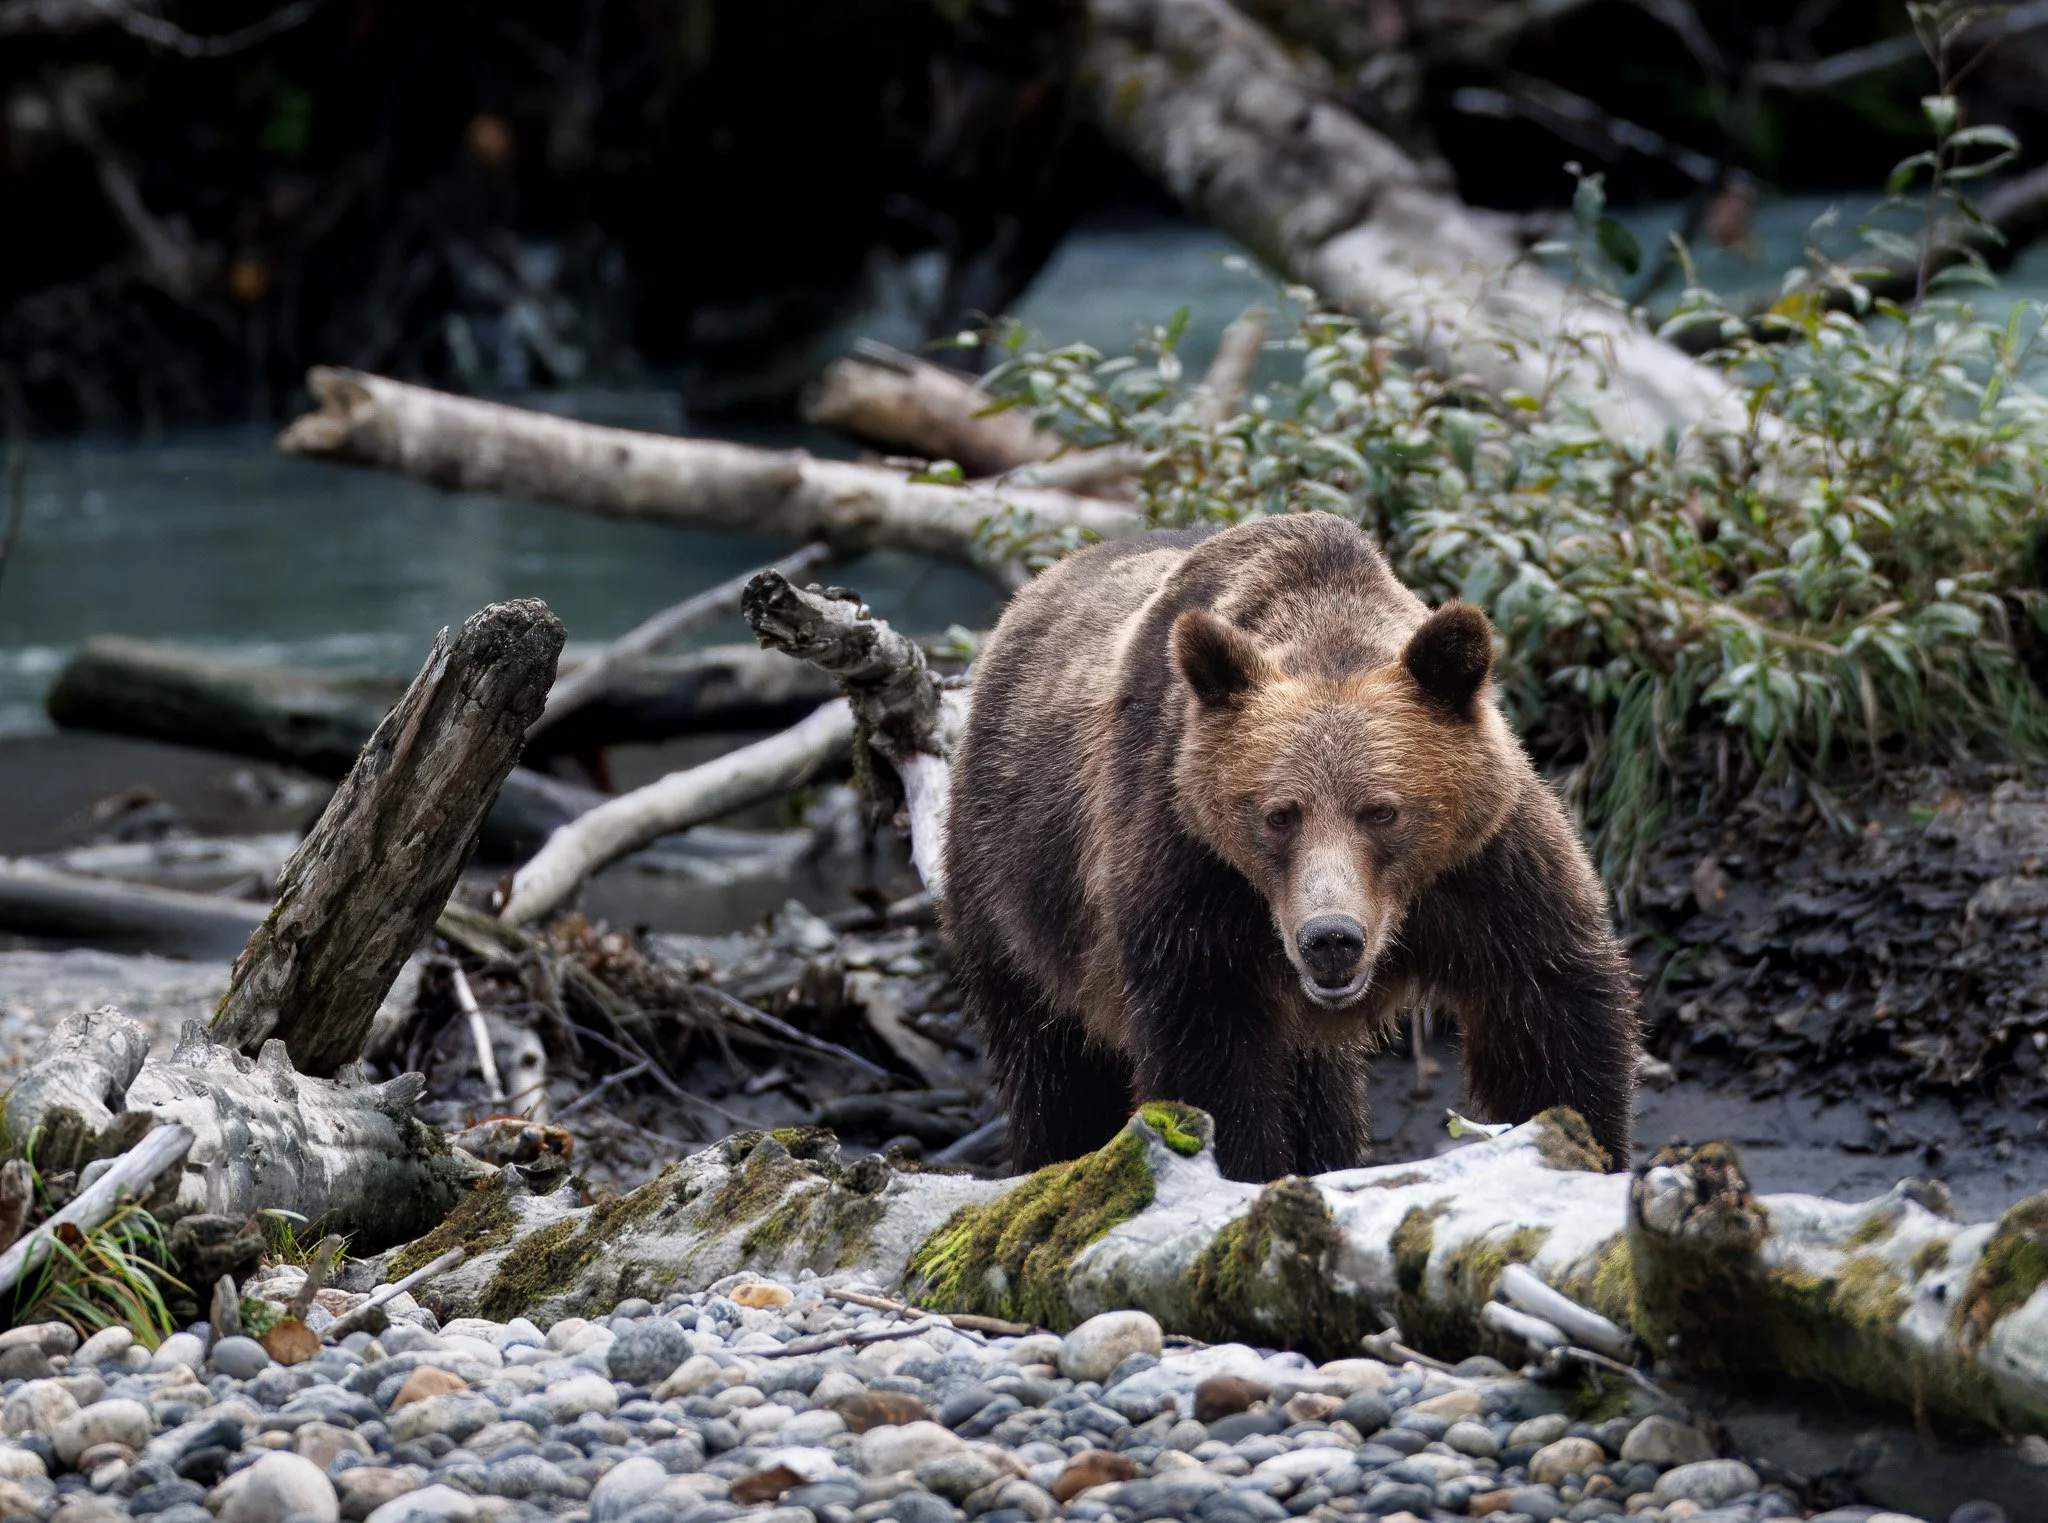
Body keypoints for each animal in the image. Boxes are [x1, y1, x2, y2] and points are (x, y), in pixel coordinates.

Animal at [943, 511, 1638, 1183]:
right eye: (1280, 815)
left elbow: (1549, 1017)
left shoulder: (1485, 870)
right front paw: (1241, 1169)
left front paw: (1582, 1143)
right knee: (1056, 1071)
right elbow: (1212, 1062)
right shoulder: (1190, 876)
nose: (1330, 937)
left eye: (1381, 811)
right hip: (1016, 893)